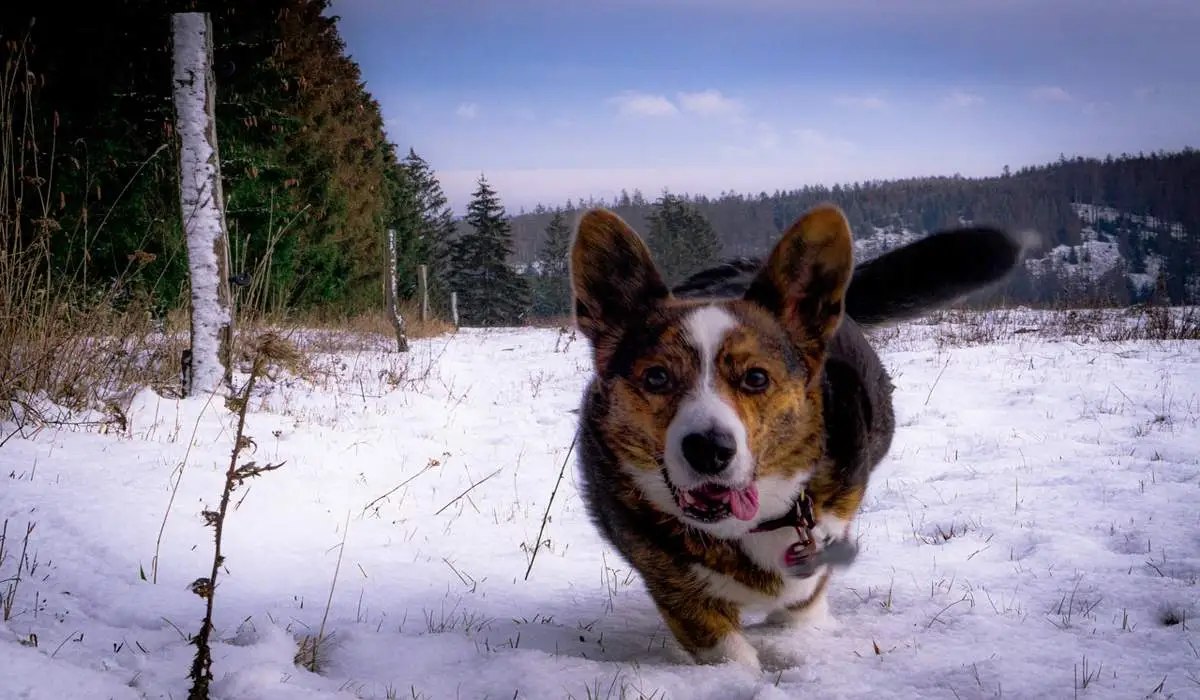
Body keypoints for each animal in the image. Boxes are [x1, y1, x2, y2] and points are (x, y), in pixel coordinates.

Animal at [566, 200, 1027, 672]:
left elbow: (800, 609)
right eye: (656, 377)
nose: (709, 450)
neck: (752, 523)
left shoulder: (813, 567)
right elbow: (726, 651)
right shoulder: (679, 592)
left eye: (755, 378)